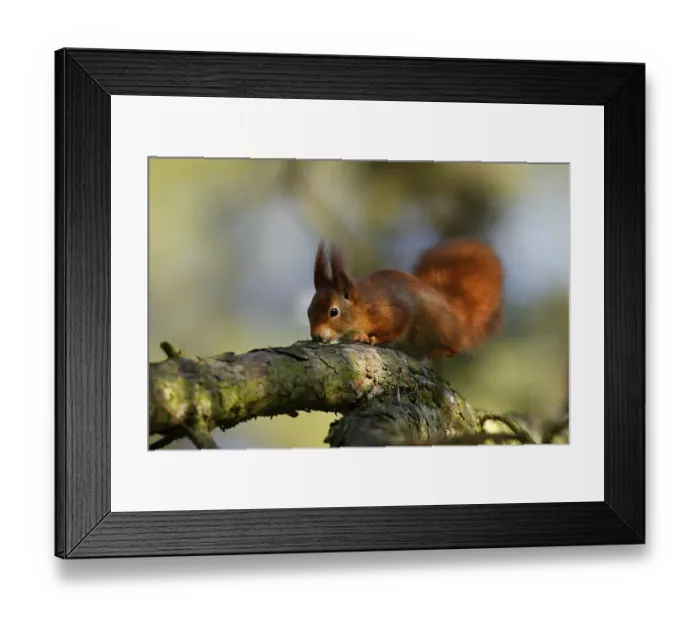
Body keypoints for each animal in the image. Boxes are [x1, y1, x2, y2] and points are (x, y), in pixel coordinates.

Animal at [307, 237, 504, 360]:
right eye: (309, 311)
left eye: (334, 312)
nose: (316, 336)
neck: (363, 306)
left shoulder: (391, 311)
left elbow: (397, 325)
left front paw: (369, 337)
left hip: (441, 325)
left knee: (456, 345)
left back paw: (442, 351)